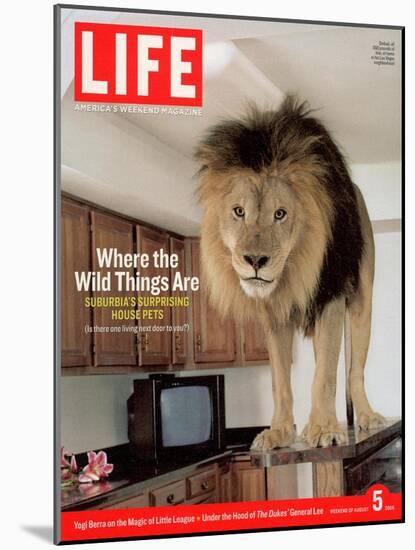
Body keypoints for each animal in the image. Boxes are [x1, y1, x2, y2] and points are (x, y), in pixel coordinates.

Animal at [197, 97, 386, 450]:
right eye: (239, 211)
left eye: (280, 214)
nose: (255, 260)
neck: (293, 272)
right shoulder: (275, 315)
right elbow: (280, 382)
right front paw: (280, 432)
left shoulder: (330, 296)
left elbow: (325, 375)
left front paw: (325, 429)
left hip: (360, 302)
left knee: (353, 371)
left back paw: (365, 417)